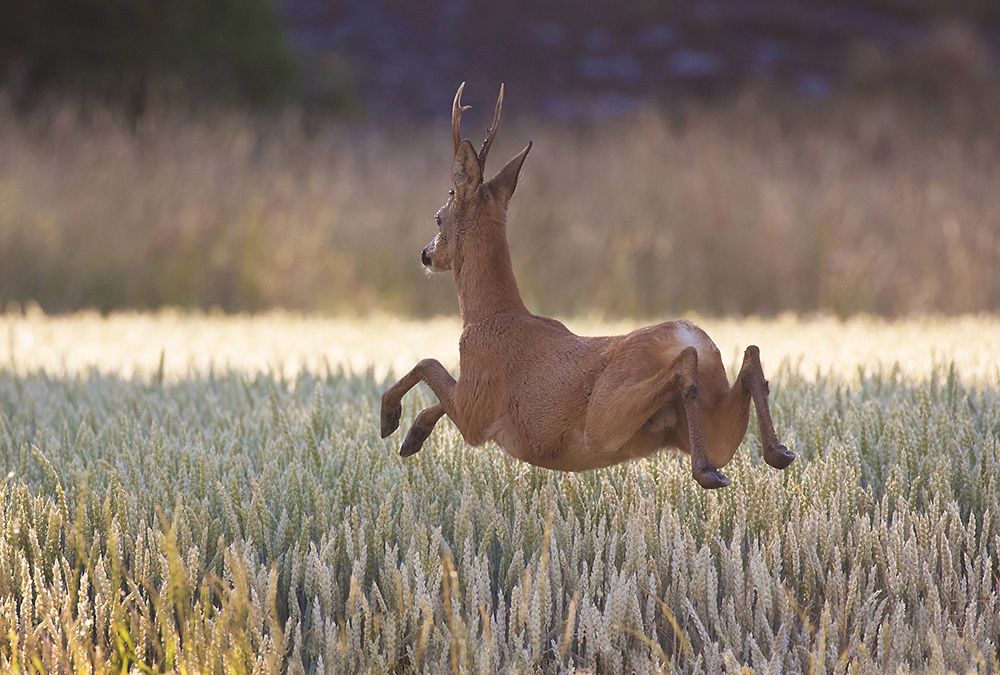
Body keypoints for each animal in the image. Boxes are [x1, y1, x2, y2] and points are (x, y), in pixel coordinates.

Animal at [378, 84, 792, 488]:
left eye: (438, 218)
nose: (426, 255)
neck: (488, 315)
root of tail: (690, 336)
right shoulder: (470, 401)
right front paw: (413, 435)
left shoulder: (475, 408)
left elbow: (428, 363)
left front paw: (390, 417)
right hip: (711, 423)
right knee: (749, 359)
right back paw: (776, 452)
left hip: (604, 416)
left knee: (686, 369)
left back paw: (708, 469)